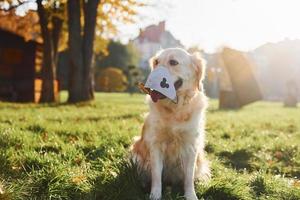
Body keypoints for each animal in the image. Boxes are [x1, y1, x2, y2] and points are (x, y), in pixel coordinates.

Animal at [130, 47, 210, 199]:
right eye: (156, 62)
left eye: (173, 62)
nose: (153, 79)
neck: (174, 109)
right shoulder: (155, 144)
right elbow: (156, 175)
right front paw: (155, 195)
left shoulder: (191, 146)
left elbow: (189, 178)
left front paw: (191, 195)